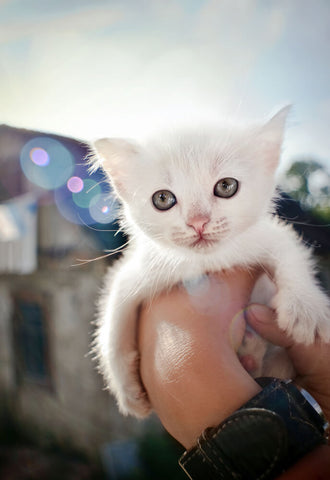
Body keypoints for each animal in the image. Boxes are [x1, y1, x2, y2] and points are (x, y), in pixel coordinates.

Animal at [89, 108, 330, 416]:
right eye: (163, 198)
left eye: (226, 186)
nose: (198, 222)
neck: (207, 263)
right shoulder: (139, 270)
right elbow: (114, 315)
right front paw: (127, 391)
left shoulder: (267, 235)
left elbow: (288, 251)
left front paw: (304, 308)